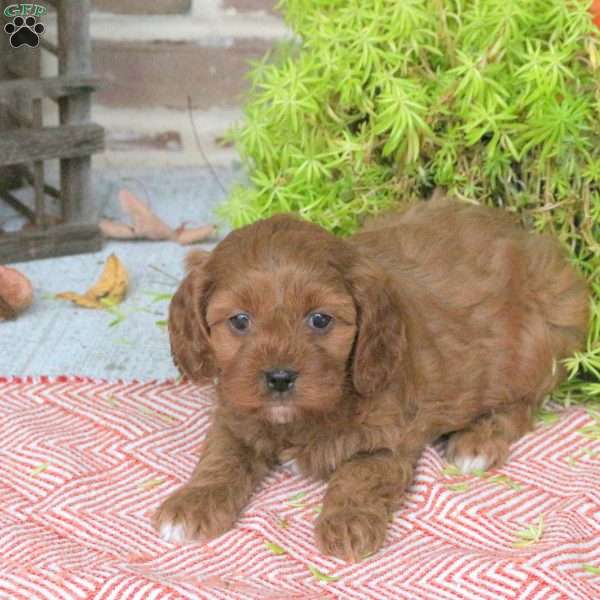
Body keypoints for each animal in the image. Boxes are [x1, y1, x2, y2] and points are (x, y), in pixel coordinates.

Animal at [152, 198, 588, 564]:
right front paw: (191, 503)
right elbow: (221, 456)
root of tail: (531, 241)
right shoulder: (236, 414)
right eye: (240, 321)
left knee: (524, 404)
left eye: (320, 319)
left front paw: (347, 524)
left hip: (537, 346)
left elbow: (357, 476)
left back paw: (477, 442)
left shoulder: (387, 442)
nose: (279, 378)